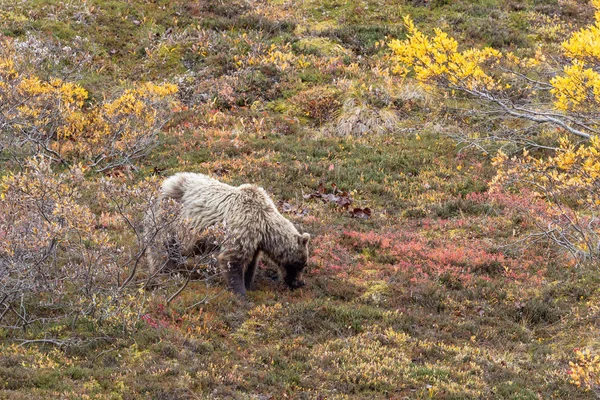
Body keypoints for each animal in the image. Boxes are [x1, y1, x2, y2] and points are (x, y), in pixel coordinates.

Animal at [146, 173, 310, 296]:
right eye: (300, 264)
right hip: (169, 220)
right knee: (162, 249)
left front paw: (249, 284)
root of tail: (164, 184)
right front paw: (241, 292)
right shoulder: (242, 228)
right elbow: (232, 260)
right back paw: (165, 272)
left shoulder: (254, 242)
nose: (300, 283)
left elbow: (251, 264)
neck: (263, 226)